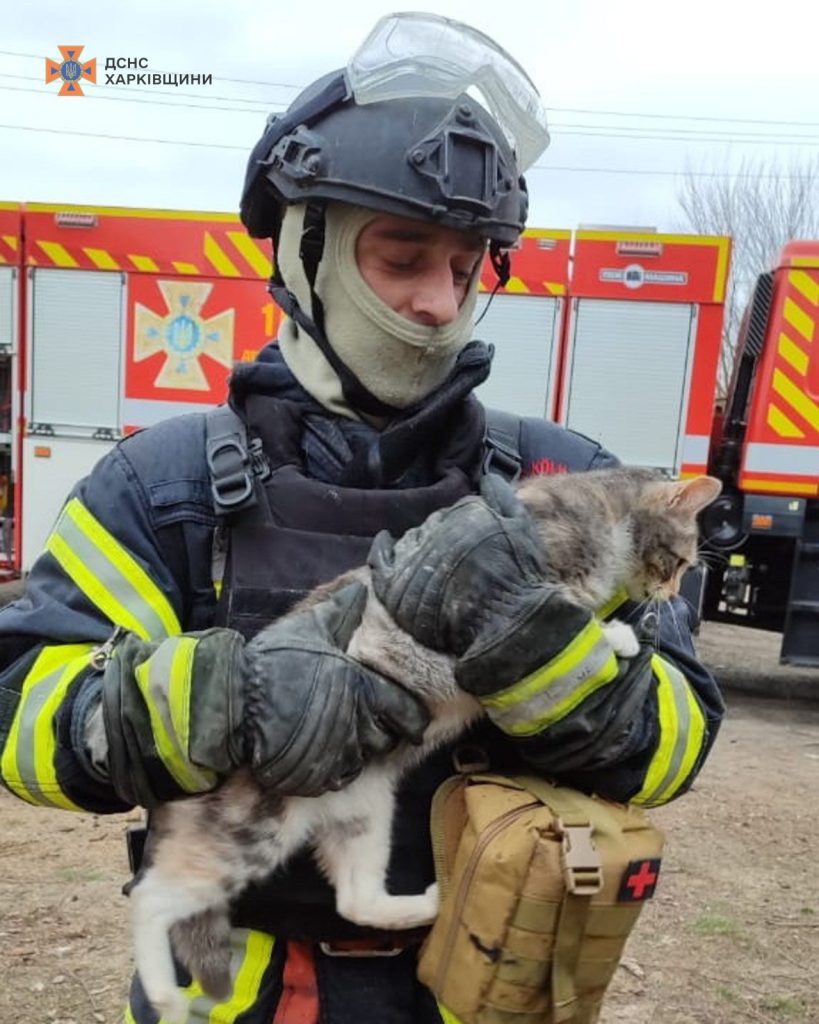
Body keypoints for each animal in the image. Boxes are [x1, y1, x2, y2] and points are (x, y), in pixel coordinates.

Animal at [126, 466, 716, 1024]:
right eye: (680, 561)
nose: (671, 598)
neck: (602, 512)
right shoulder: (545, 565)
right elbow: (573, 614)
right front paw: (611, 633)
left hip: (366, 814)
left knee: (355, 900)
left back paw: (430, 904)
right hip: (246, 832)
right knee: (150, 897)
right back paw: (166, 993)